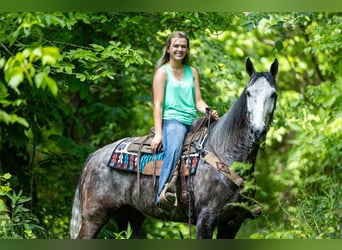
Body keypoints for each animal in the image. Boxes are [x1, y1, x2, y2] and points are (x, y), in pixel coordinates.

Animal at [69, 57, 278, 239]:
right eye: (248, 93)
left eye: (273, 94)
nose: (257, 131)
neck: (226, 153)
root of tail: (94, 156)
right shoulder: (206, 219)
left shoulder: (232, 223)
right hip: (94, 216)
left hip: (130, 216)